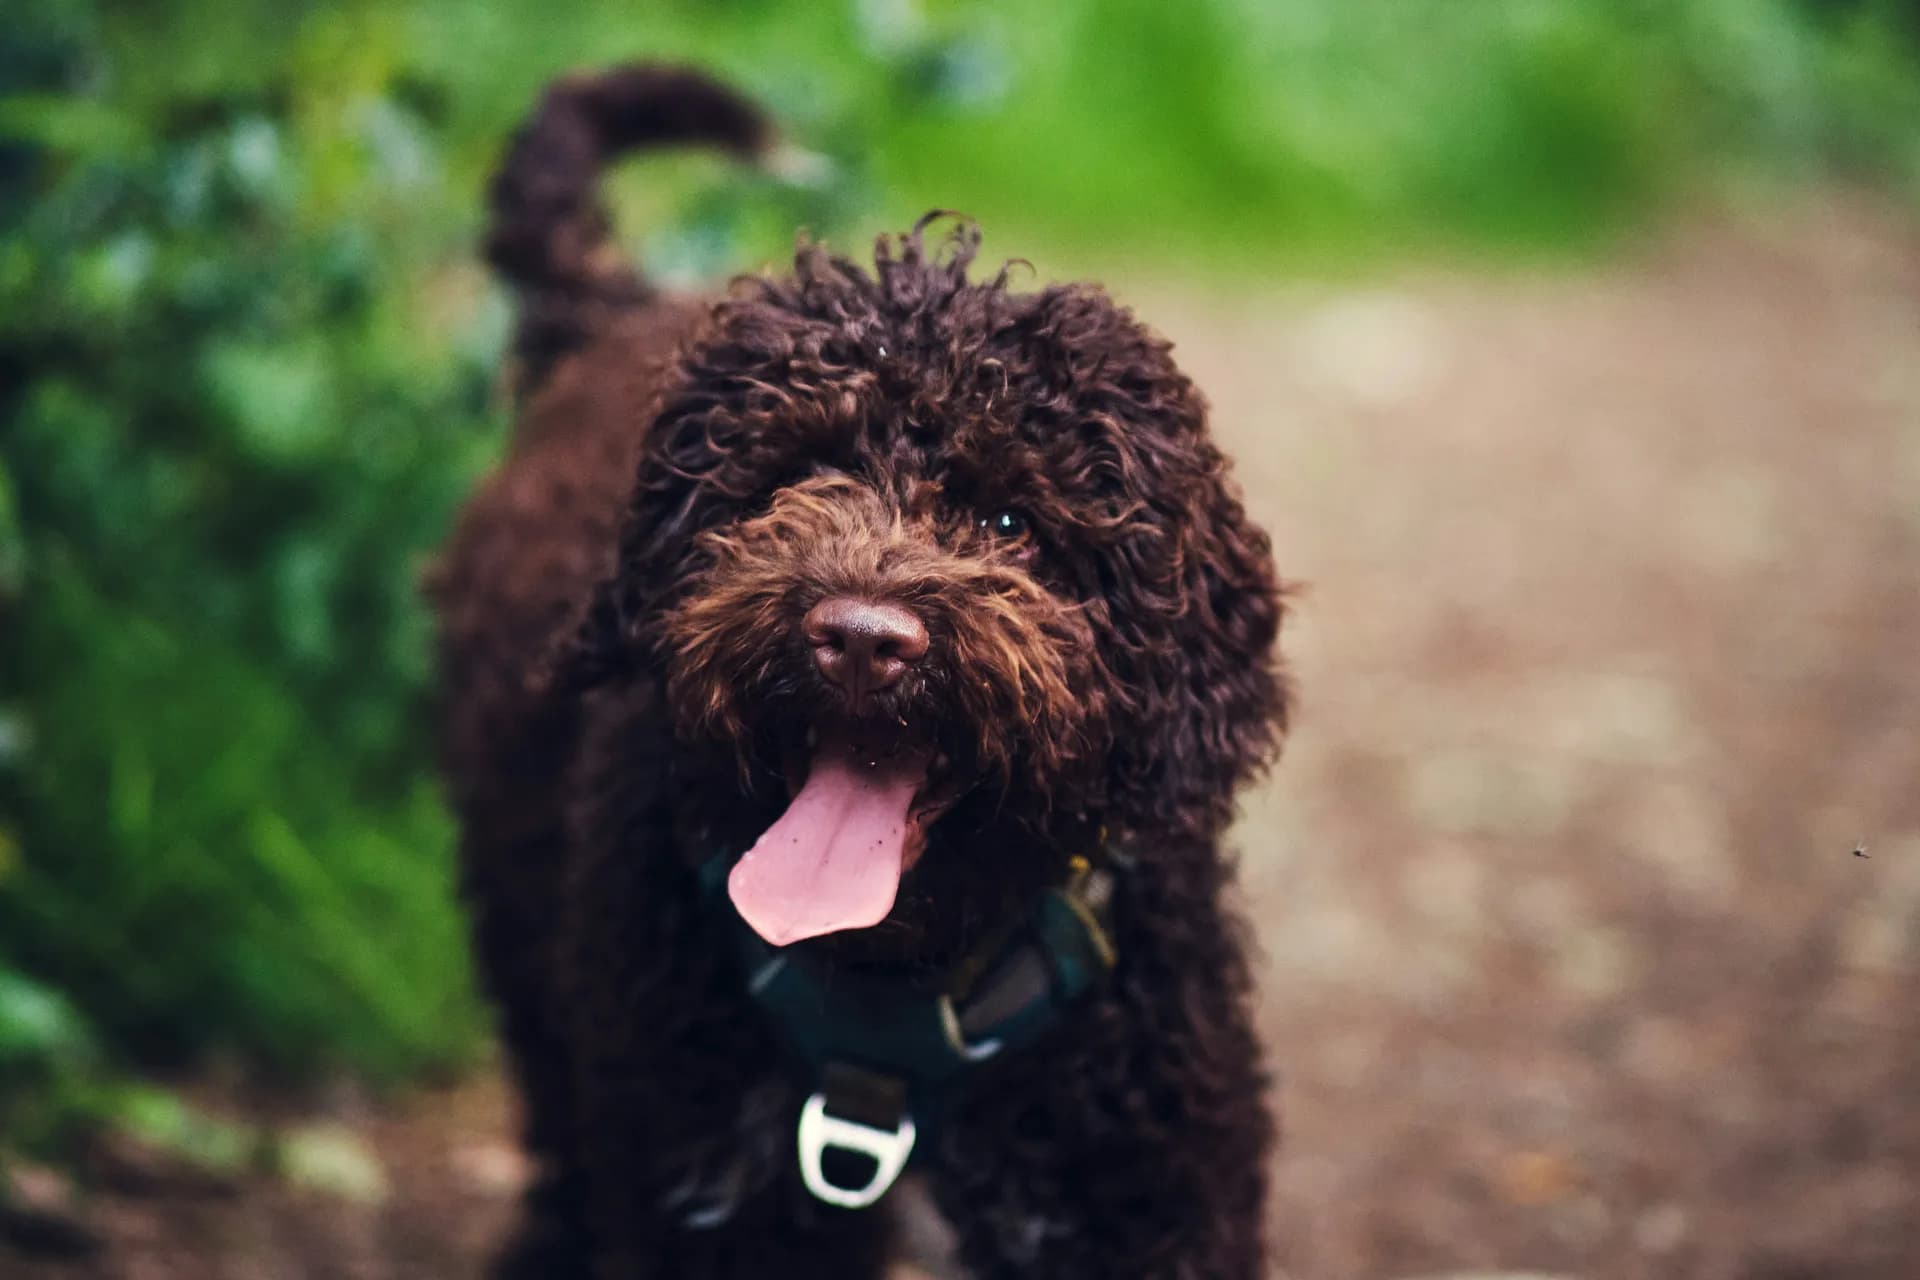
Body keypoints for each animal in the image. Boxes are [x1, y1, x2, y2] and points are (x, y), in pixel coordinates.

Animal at [432, 62, 1290, 1280]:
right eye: (791, 474)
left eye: (1012, 517)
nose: (859, 637)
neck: (896, 1001)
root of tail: (614, 311)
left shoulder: (1143, 1202)